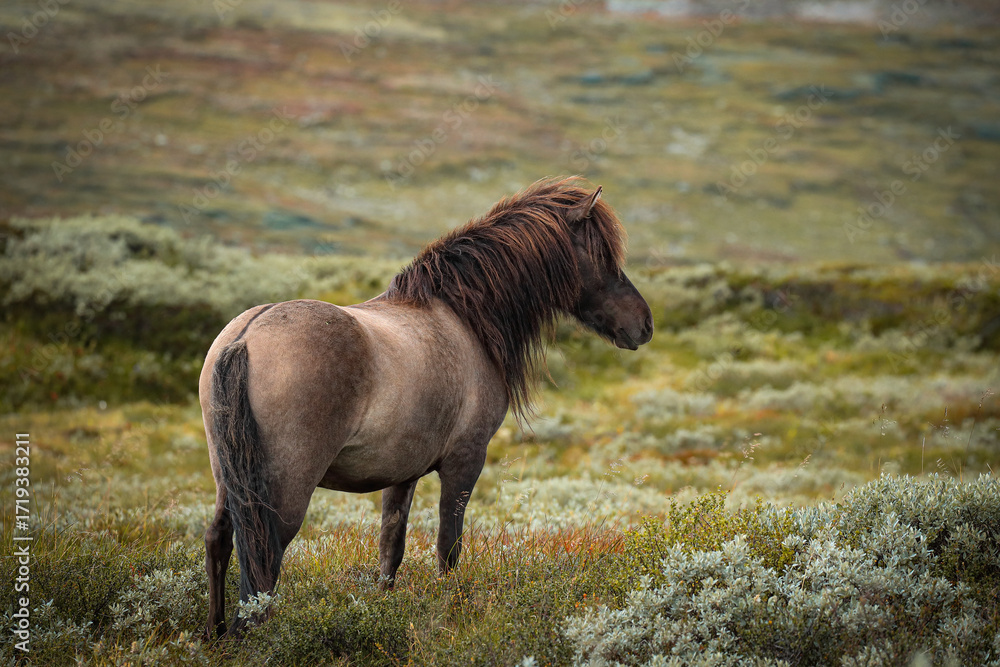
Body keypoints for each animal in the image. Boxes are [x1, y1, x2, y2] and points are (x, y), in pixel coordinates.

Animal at [200, 177, 654, 638]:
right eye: (602, 256)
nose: (644, 324)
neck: (463, 317)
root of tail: (246, 336)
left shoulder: (402, 473)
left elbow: (391, 548)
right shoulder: (464, 462)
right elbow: (448, 549)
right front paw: (449, 614)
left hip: (228, 478)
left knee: (220, 540)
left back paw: (217, 634)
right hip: (286, 491)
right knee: (264, 558)